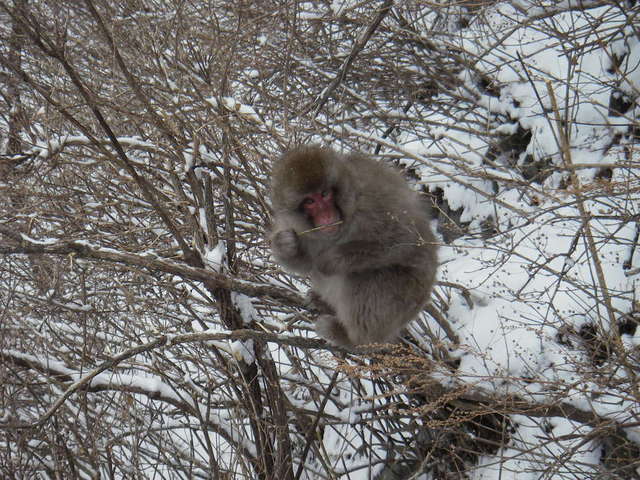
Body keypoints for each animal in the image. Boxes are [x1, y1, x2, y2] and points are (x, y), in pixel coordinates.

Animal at [268, 144, 438, 346]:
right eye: (310, 201)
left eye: (325, 194)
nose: (326, 216)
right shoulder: (296, 224)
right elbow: (306, 263)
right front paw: (285, 244)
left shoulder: (373, 205)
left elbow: (405, 240)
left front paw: (329, 260)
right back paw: (322, 302)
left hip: (406, 297)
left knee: (365, 276)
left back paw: (351, 337)